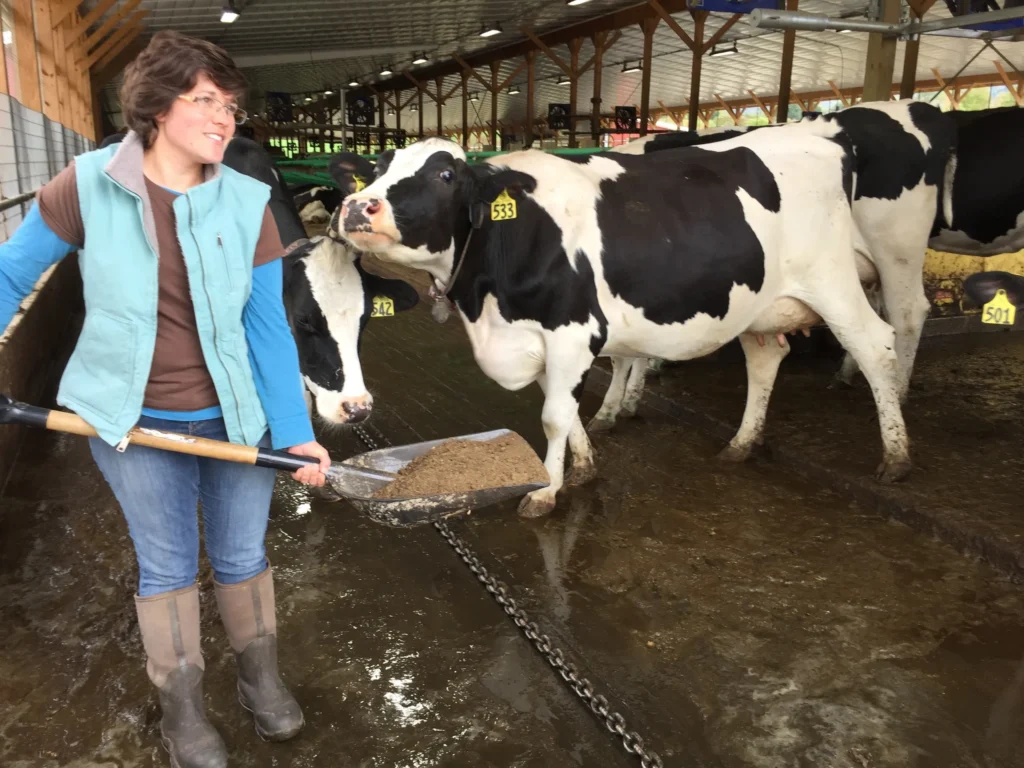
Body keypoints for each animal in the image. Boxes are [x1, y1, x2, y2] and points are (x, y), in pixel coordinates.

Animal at [333, 131, 913, 518]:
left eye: (446, 175)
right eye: (378, 166)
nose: (357, 206)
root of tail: (823, 138)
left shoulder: (572, 332)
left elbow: (552, 417)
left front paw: (545, 490)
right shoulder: (540, 343)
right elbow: (567, 411)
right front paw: (582, 468)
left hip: (835, 281)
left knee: (877, 345)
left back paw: (896, 457)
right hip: (759, 304)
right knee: (767, 358)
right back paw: (741, 443)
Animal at [598, 98, 954, 434]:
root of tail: (919, 107)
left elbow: (622, 355)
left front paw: (615, 407)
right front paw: (628, 400)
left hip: (896, 249)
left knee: (907, 313)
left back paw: (900, 394)